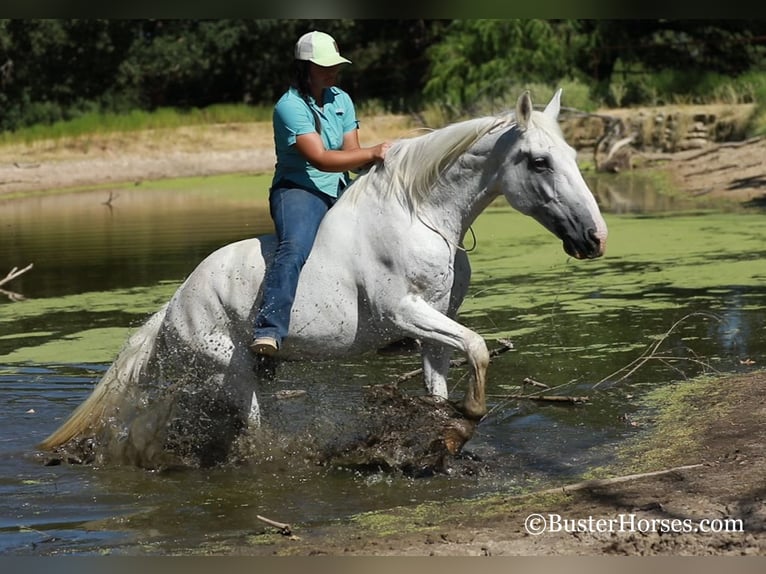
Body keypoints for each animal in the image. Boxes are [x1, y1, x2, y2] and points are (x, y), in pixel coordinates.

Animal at [40, 89, 608, 468]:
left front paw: (443, 437)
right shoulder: (405, 311)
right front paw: (469, 414)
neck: (421, 215)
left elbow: (447, 375)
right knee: (249, 427)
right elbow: (480, 347)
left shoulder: (434, 324)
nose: (595, 237)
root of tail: (174, 304)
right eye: (539, 161)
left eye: (572, 156)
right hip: (232, 369)